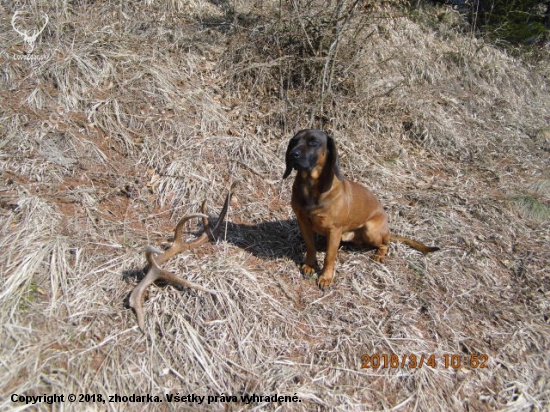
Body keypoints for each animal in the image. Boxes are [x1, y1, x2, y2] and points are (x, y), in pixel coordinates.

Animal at [284, 130, 440, 288]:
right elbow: (310, 246)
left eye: (313, 142)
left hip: (370, 230)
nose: (292, 154)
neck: (310, 186)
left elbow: (330, 256)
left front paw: (326, 276)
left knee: (385, 245)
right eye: (294, 142)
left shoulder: (334, 229)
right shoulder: (303, 222)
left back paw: (379, 255)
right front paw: (310, 265)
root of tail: (387, 232)